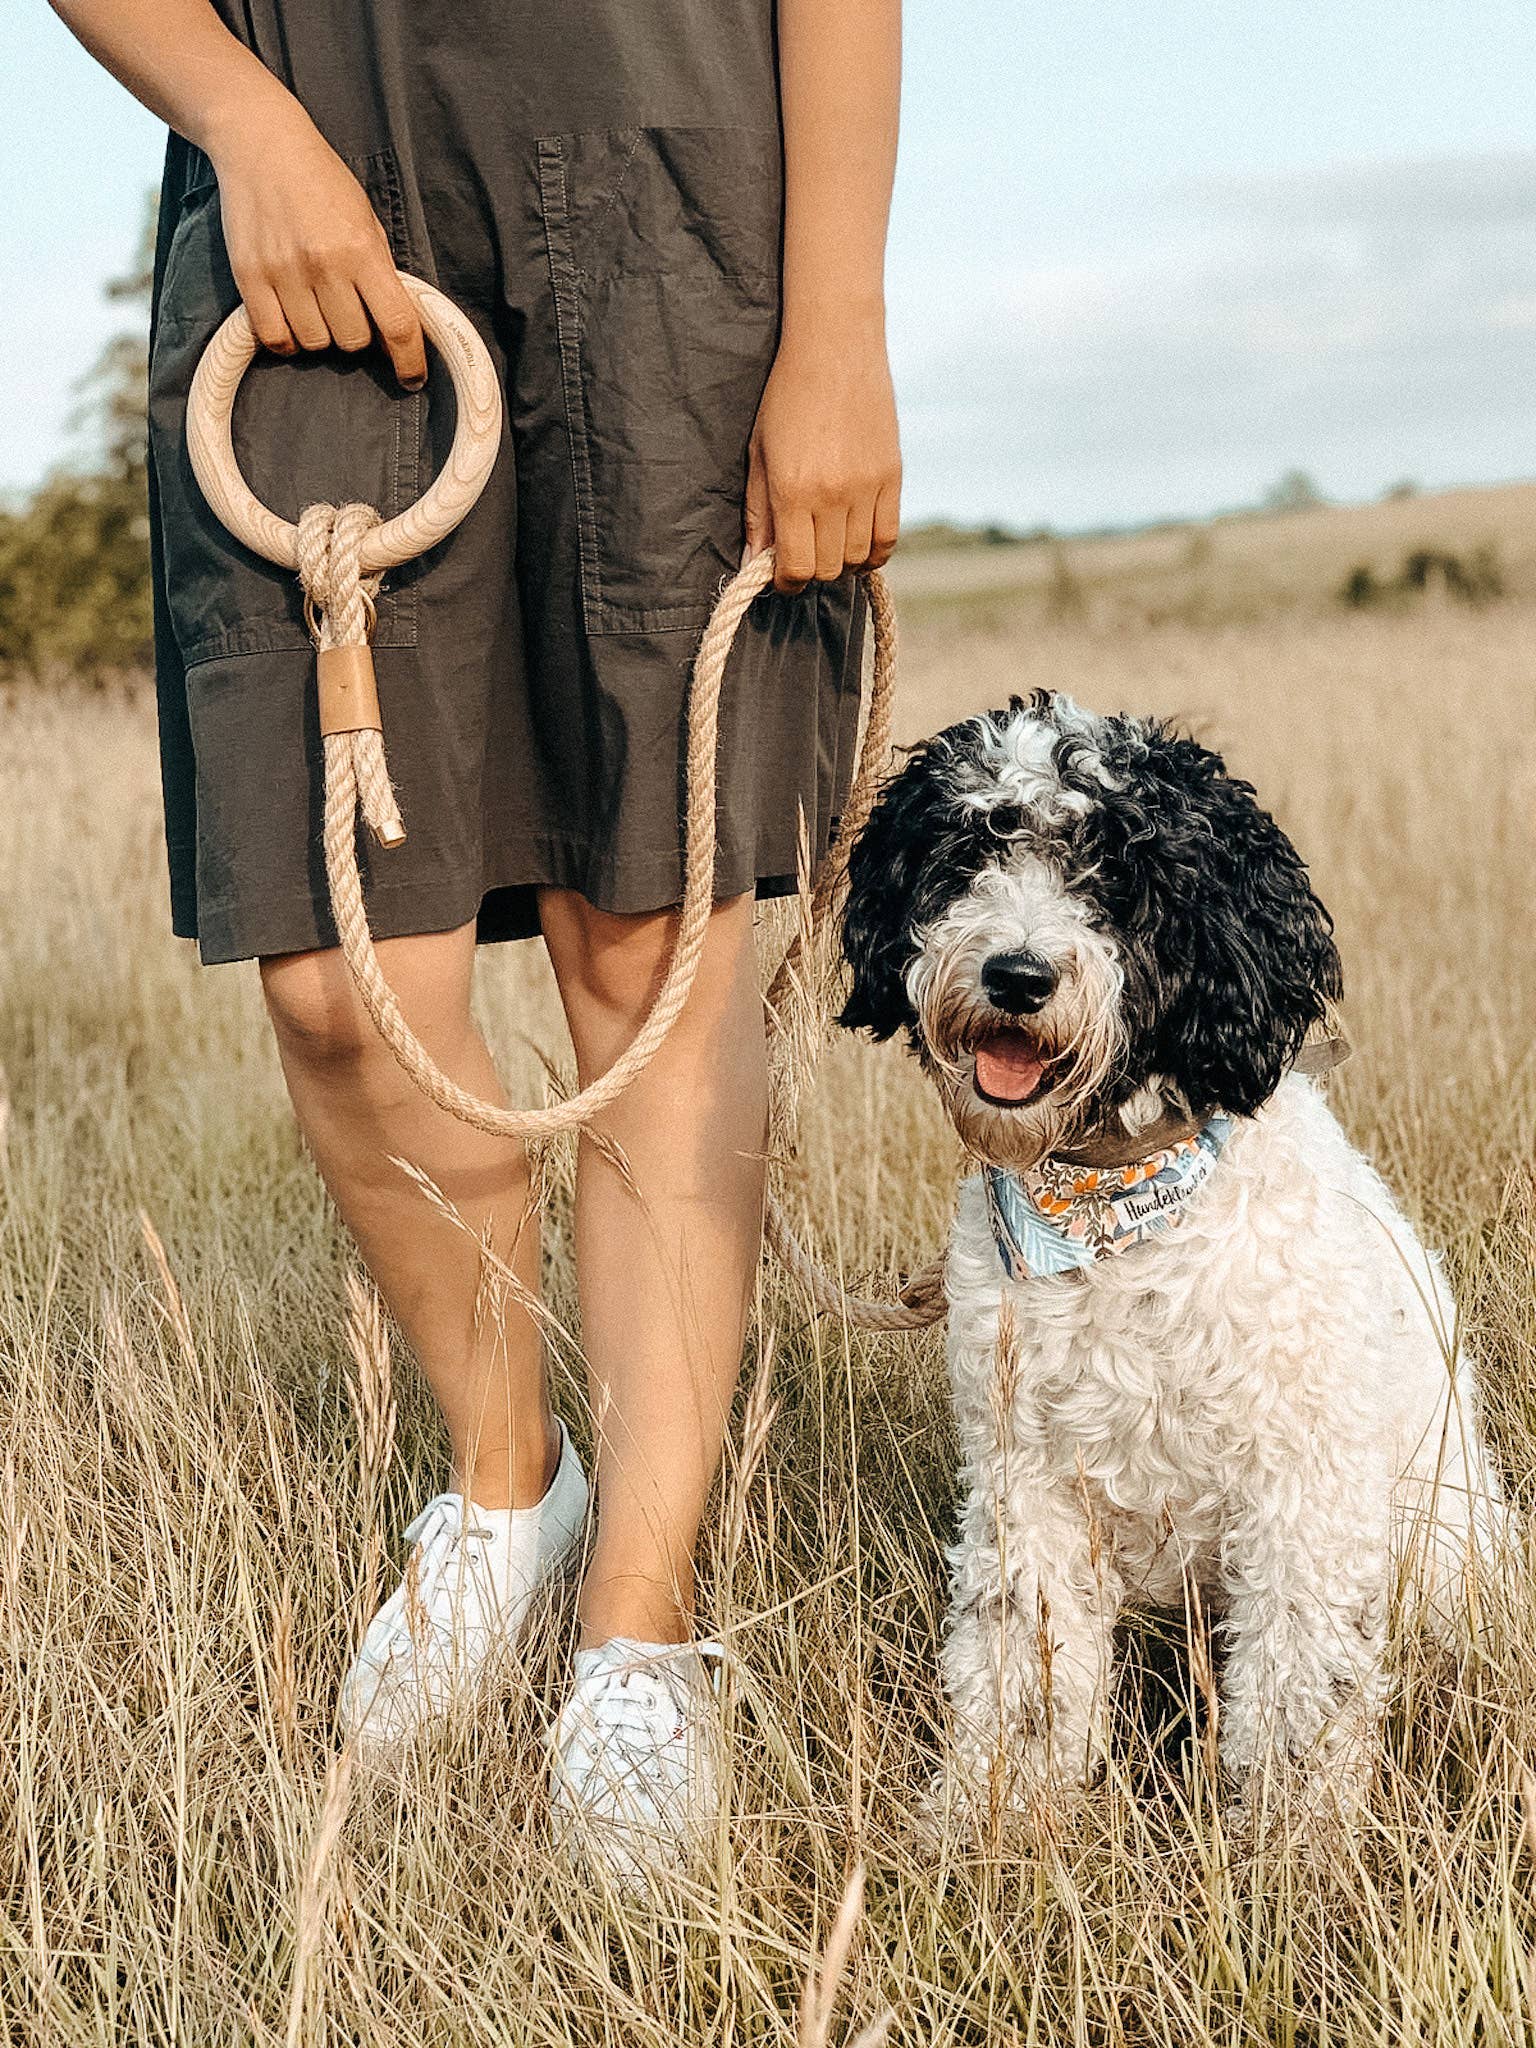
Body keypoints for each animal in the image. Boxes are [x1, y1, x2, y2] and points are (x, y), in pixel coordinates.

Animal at [843, 696, 1507, 1818]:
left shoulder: (1303, 1498)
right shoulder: (1029, 1482)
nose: (1016, 975)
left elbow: (1298, 1695)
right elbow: (1021, 1674)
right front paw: (991, 1820)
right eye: (970, 848)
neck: (1116, 1221)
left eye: (1118, 877)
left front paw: (1286, 1841)